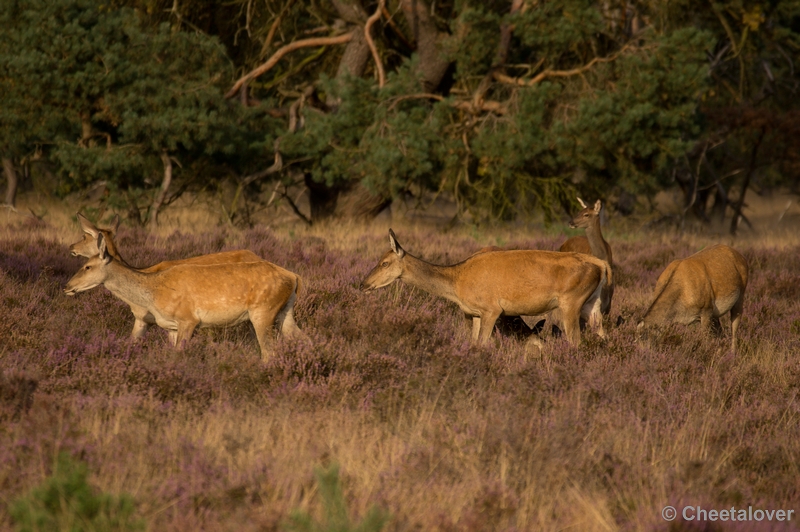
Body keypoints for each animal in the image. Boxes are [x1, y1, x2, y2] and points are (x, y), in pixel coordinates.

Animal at [63, 234, 304, 362]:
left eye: (87, 266)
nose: (67, 287)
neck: (153, 293)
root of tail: (294, 276)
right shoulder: (170, 325)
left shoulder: (189, 319)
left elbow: (180, 353)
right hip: (285, 311)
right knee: (303, 338)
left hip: (263, 311)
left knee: (269, 352)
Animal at [358, 231, 612, 348]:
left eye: (384, 263)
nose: (363, 284)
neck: (457, 283)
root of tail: (601, 264)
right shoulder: (475, 313)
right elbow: (473, 343)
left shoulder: (492, 309)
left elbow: (482, 344)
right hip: (592, 303)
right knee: (603, 333)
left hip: (571, 300)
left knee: (575, 340)